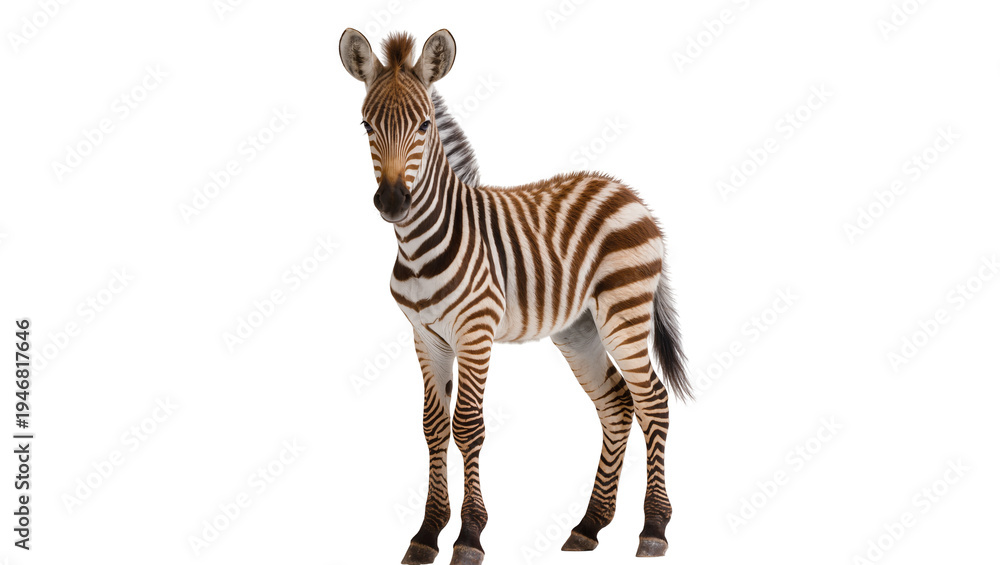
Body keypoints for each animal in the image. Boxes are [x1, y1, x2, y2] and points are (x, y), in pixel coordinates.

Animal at [339, 28, 691, 565]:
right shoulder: (425, 336)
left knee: (652, 400)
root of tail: (627, 193)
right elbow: (433, 426)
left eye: (424, 124)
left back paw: (653, 529)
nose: (393, 202)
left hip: (624, 313)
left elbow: (467, 425)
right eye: (366, 125)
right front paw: (426, 534)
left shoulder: (474, 332)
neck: (420, 246)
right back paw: (589, 526)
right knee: (616, 404)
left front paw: (468, 536)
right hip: (579, 329)